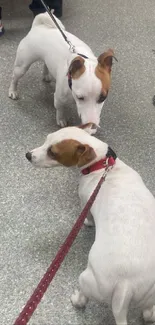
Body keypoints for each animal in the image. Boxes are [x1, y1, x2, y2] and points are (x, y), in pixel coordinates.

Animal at [25, 123, 155, 324]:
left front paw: (87, 222)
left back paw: (76, 299)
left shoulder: (86, 201)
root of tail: (126, 285)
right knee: (149, 312)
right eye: (46, 139)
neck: (102, 165)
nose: (28, 155)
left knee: (83, 296)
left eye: (53, 152)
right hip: (148, 295)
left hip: (87, 279)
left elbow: (89, 216)